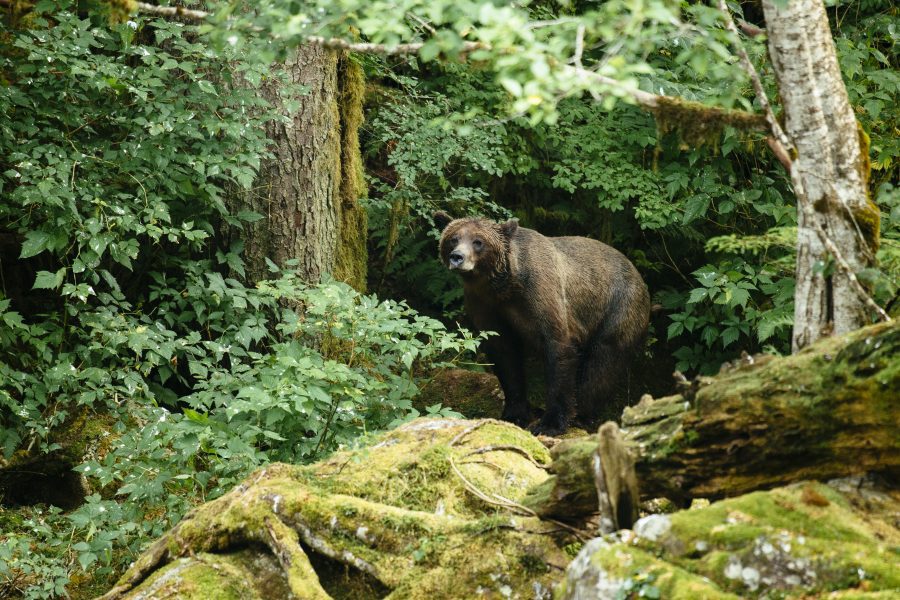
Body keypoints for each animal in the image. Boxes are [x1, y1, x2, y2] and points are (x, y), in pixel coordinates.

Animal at [434, 212, 648, 436]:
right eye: (453, 239)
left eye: (478, 241)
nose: (457, 257)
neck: (505, 287)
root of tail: (640, 277)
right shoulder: (485, 304)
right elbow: (505, 356)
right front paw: (515, 413)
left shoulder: (540, 293)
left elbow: (558, 349)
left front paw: (549, 423)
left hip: (618, 310)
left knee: (602, 363)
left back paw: (582, 415)